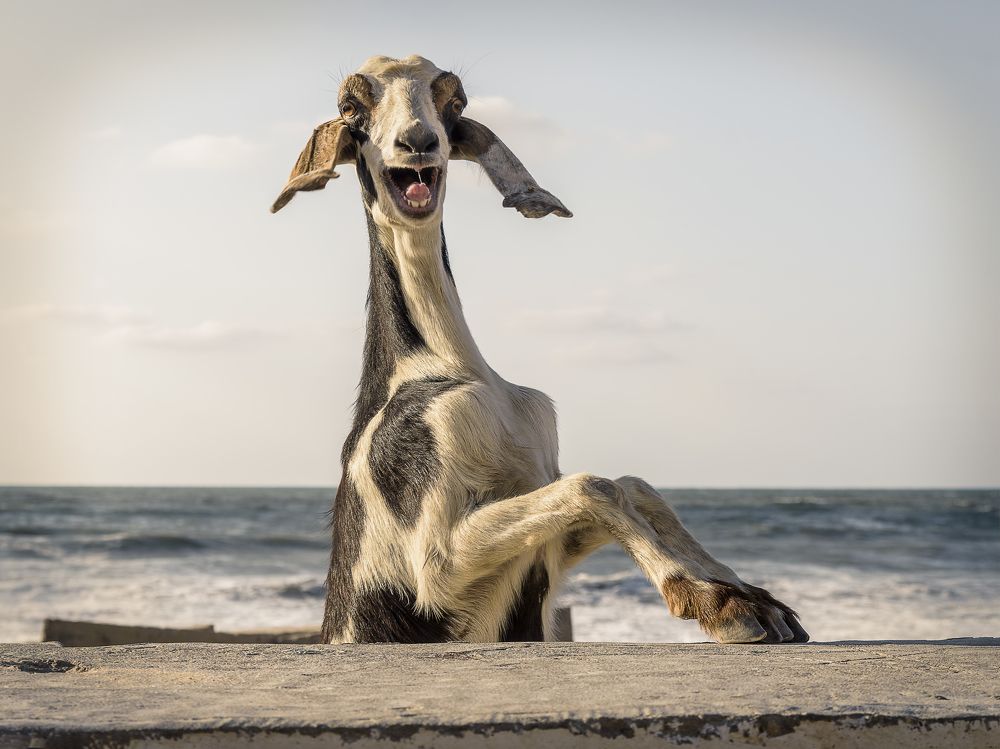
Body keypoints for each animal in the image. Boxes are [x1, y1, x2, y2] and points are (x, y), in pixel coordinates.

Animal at [271, 55, 808, 645]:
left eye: (452, 103)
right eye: (351, 108)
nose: (417, 142)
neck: (439, 365)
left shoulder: (546, 536)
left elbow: (633, 486)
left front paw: (754, 598)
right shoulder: (437, 563)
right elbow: (593, 486)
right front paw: (711, 600)